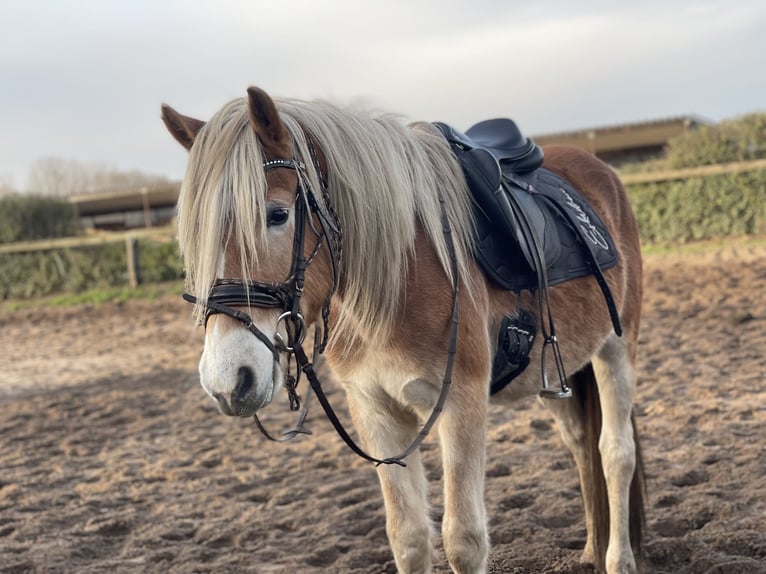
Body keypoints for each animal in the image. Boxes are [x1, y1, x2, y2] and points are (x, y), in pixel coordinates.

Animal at [162, 86, 648, 574]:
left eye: (277, 215)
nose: (228, 381)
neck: (396, 283)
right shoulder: (376, 410)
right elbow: (409, 537)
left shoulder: (462, 403)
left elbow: (463, 540)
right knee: (581, 446)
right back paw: (591, 547)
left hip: (616, 348)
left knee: (615, 453)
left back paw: (618, 558)